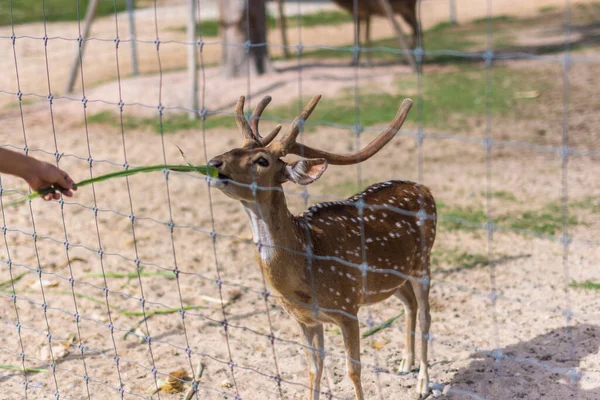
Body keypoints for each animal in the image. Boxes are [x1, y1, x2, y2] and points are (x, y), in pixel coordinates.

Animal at [207, 95, 436, 398]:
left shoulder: (347, 307)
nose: (214, 162)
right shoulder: (305, 319)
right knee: (409, 303)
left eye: (262, 160)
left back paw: (423, 383)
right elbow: (314, 370)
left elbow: (353, 370)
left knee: (426, 315)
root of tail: (424, 188)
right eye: (236, 147)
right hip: (392, 275)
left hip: (424, 259)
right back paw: (404, 364)